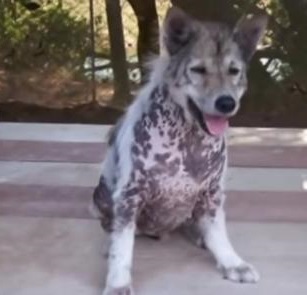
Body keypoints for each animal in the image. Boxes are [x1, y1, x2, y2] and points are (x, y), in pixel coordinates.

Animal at [93, 5, 268, 294]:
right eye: (198, 70)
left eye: (234, 71)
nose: (226, 103)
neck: (188, 141)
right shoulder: (129, 196)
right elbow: (122, 247)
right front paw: (118, 281)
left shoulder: (212, 193)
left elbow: (219, 233)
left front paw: (231, 262)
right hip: (101, 198)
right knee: (112, 227)